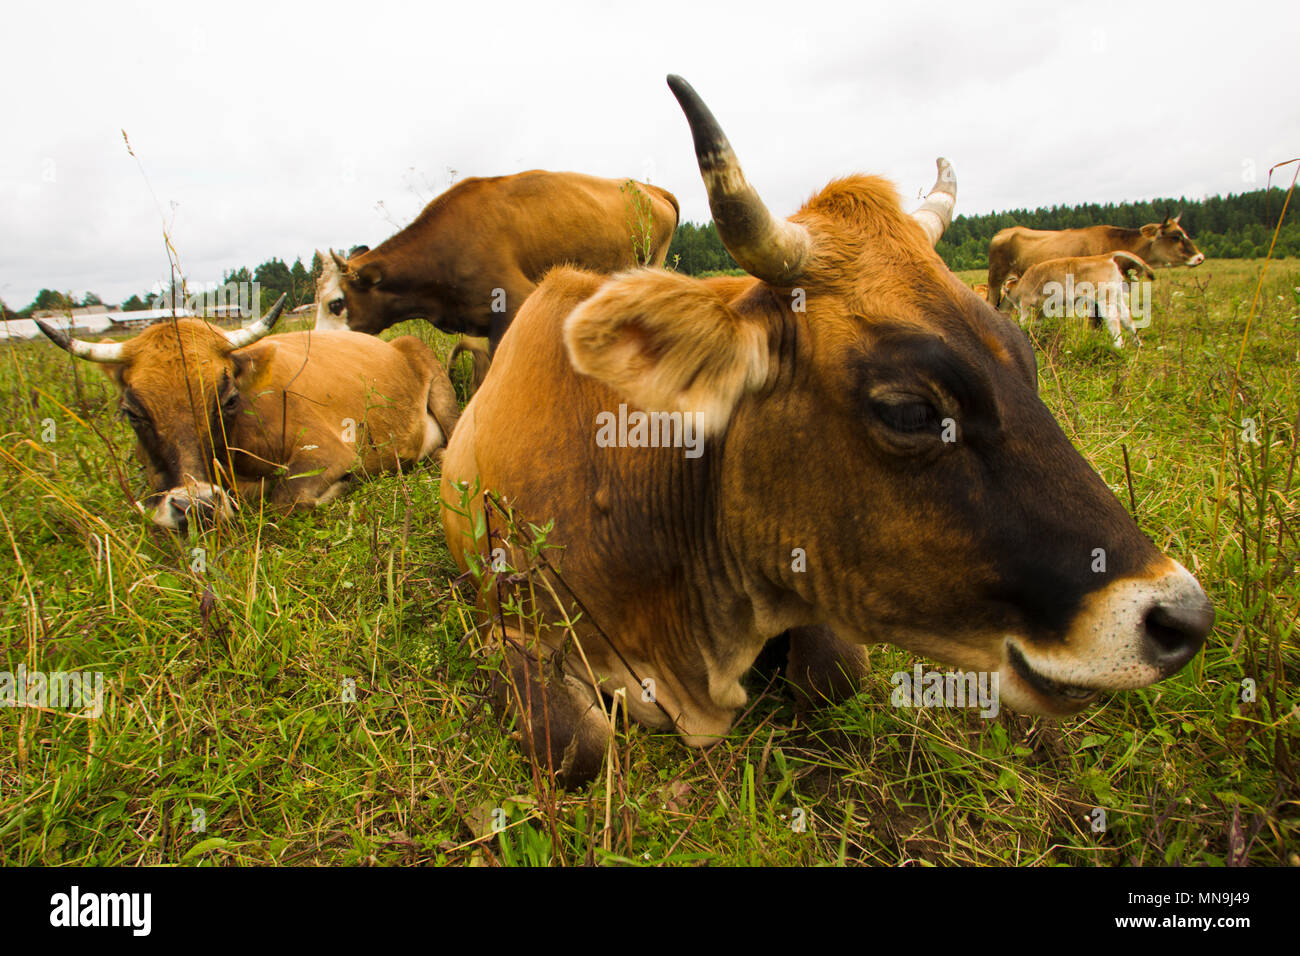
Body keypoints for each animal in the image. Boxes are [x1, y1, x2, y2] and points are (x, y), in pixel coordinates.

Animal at [39, 295, 462, 535]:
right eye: (132, 413)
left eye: (228, 400)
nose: (197, 507)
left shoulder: (329, 450)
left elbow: (286, 500)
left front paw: (339, 488)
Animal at [998, 251, 1154, 348]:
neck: (1021, 283)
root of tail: (1105, 256)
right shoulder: (1041, 310)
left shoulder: (1026, 305)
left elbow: (1024, 322)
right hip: (1117, 296)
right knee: (1128, 319)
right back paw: (1138, 345)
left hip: (1105, 298)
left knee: (1113, 320)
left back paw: (1118, 346)